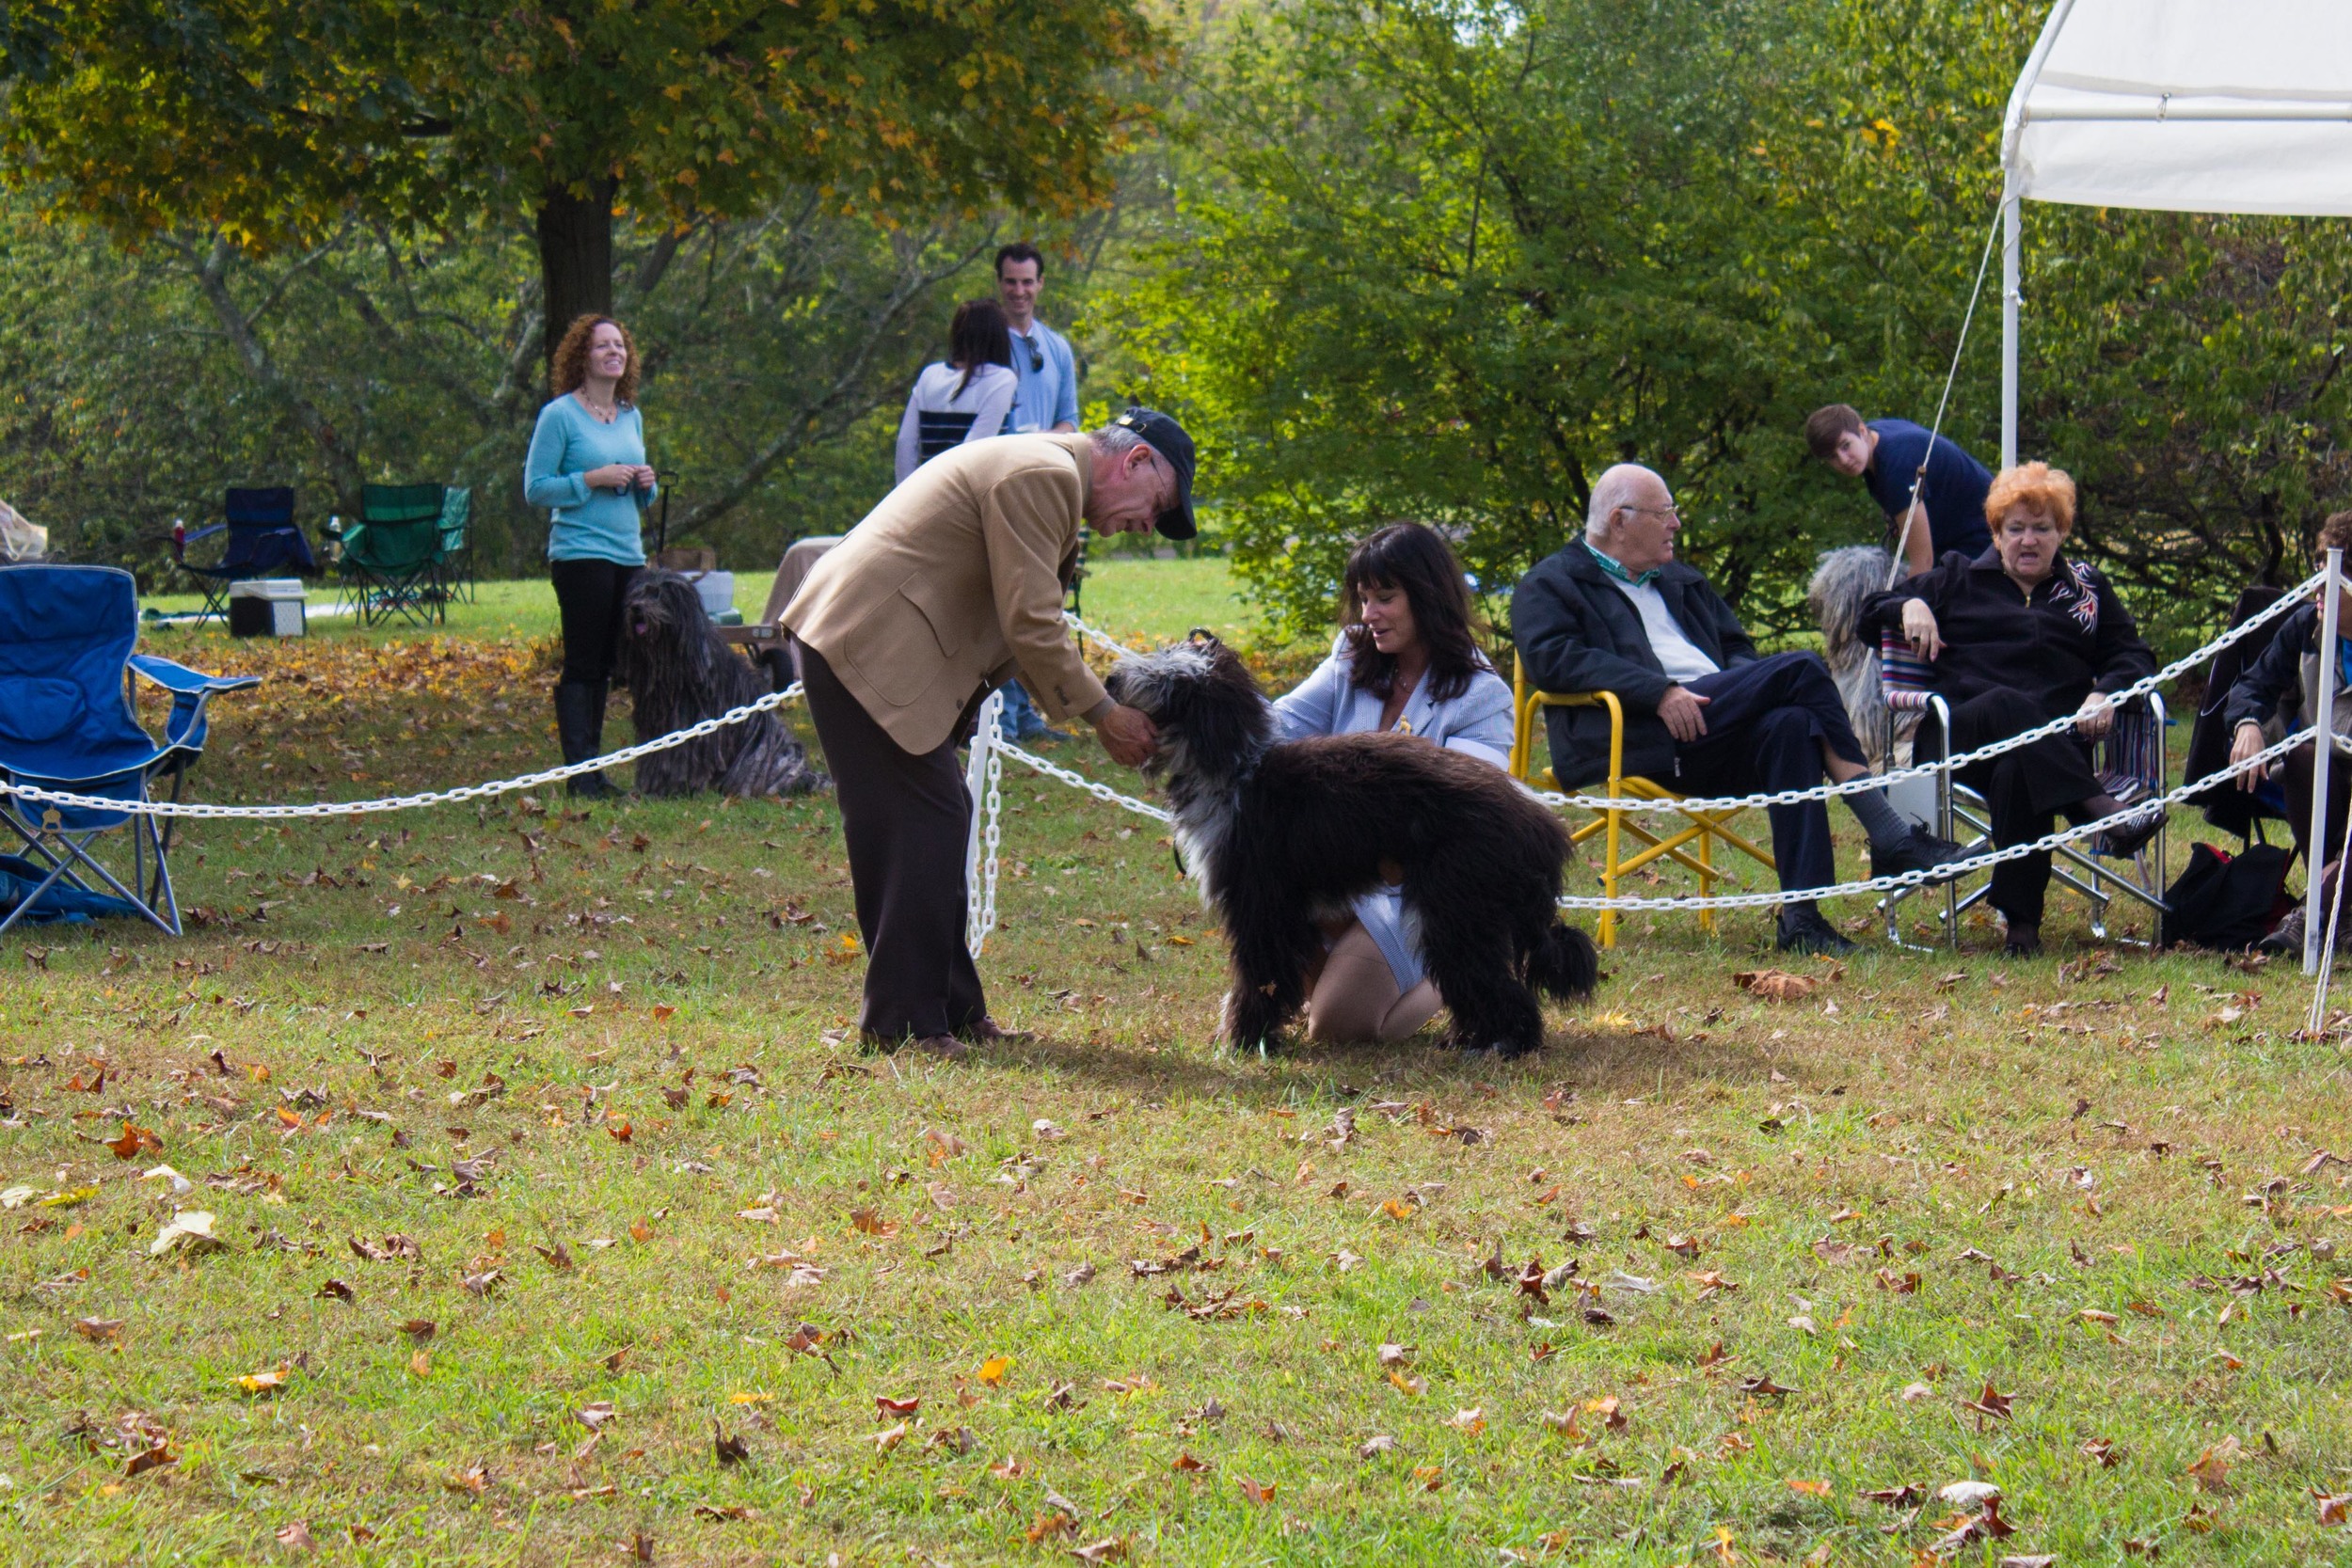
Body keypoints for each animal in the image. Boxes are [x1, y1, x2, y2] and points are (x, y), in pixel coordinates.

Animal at [1101, 629, 1599, 1062]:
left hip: (1457, 909)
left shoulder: (1260, 905)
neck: (1238, 769)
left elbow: (1259, 976)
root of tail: (1538, 823)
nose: (1109, 680)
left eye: (1171, 680)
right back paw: (1474, 1038)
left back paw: (1506, 1043)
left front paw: (1240, 1040)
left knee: (1494, 983)